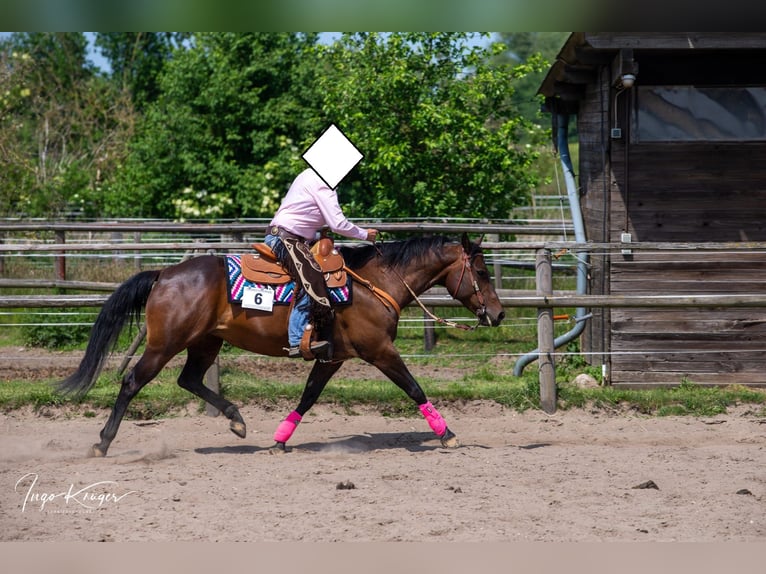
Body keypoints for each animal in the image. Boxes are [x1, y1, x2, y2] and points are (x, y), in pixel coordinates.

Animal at [57, 233, 505, 457]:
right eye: (483, 272)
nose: (498, 314)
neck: (376, 283)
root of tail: (164, 274)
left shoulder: (332, 358)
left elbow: (308, 396)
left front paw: (279, 439)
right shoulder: (379, 351)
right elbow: (414, 387)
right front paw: (447, 434)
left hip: (206, 342)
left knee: (190, 380)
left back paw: (237, 420)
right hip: (164, 344)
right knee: (132, 382)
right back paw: (102, 442)